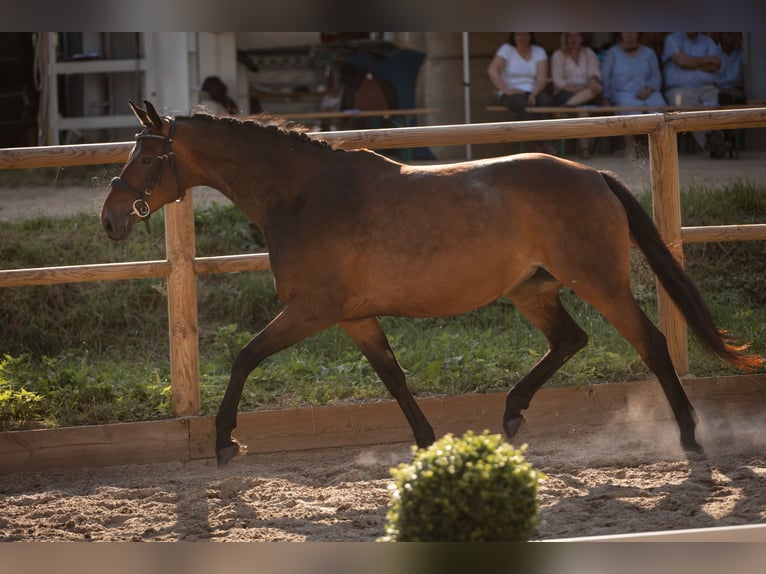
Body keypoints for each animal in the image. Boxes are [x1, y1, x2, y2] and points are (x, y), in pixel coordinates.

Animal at [100, 100, 760, 468]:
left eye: (146, 157)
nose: (109, 219)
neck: (304, 195)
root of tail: (592, 173)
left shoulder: (312, 311)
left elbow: (243, 358)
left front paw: (223, 442)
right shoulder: (354, 317)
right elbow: (393, 377)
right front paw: (427, 445)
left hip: (599, 282)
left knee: (651, 344)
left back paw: (690, 439)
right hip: (533, 290)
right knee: (571, 341)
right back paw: (512, 416)